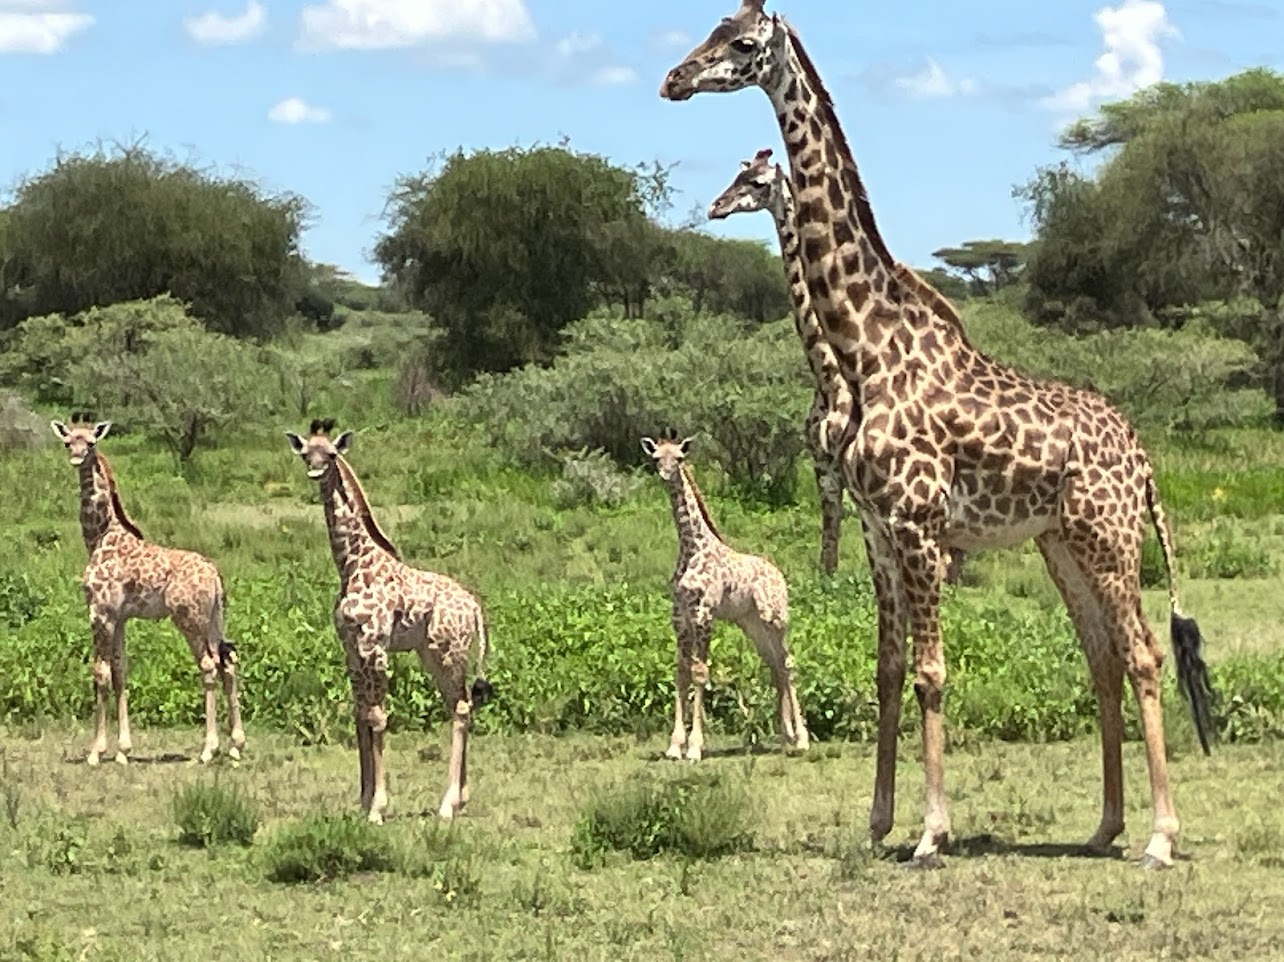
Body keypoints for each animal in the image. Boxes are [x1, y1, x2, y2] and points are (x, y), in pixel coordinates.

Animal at [49, 415, 244, 766]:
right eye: (68, 441)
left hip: (189, 619)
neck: (99, 537)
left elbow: (100, 673)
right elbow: (120, 672)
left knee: (208, 666)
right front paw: (123, 751)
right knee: (228, 663)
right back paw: (236, 745)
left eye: (91, 442)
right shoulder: (120, 618)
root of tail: (215, 575)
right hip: (214, 619)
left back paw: (208, 750)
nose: (76, 456)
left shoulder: (100, 612)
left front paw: (96, 752)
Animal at [285, 419, 492, 822]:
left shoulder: (374, 645)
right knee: (461, 705)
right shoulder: (351, 648)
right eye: (306, 453)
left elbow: (378, 717)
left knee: (461, 708)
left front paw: (378, 808)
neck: (351, 565)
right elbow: (360, 715)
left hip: (448, 652)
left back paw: (447, 805)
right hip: (432, 653)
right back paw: (460, 798)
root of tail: (474, 606)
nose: (314, 471)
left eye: (329, 454)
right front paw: (364, 799)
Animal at [642, 433, 808, 761]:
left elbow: (700, 673)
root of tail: (780, 576)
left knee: (788, 663)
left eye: (679, 457)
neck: (692, 548)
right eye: (656, 457)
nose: (665, 474)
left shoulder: (704, 614)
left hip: (775, 619)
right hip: (752, 624)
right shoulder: (680, 617)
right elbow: (681, 673)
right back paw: (785, 738)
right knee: (775, 666)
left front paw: (695, 747)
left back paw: (802, 740)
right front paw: (674, 746)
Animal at [709, 147, 853, 577]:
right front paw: (827, 577)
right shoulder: (822, 464)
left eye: (757, 183)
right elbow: (830, 526)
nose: (714, 207)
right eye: (736, 175)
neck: (826, 376)